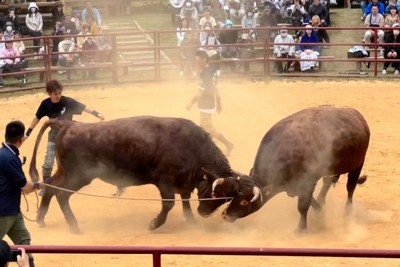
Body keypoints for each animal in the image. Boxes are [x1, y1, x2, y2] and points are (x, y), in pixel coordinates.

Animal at [30, 116, 238, 233]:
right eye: (216, 194)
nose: (204, 213)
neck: (191, 146)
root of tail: (68, 124)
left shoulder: (183, 182)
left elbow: (185, 201)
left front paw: (191, 221)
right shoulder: (165, 182)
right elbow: (169, 204)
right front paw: (154, 224)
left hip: (65, 172)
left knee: (49, 186)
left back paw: (41, 220)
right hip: (78, 176)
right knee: (61, 194)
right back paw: (74, 226)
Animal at [198, 105, 370, 231]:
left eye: (245, 202)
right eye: (234, 196)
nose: (225, 215)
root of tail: (358, 116)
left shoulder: (307, 182)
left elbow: (303, 205)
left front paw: (301, 229)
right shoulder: (294, 185)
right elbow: (312, 202)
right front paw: (320, 211)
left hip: (358, 165)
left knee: (350, 188)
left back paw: (348, 212)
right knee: (327, 183)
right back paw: (324, 201)